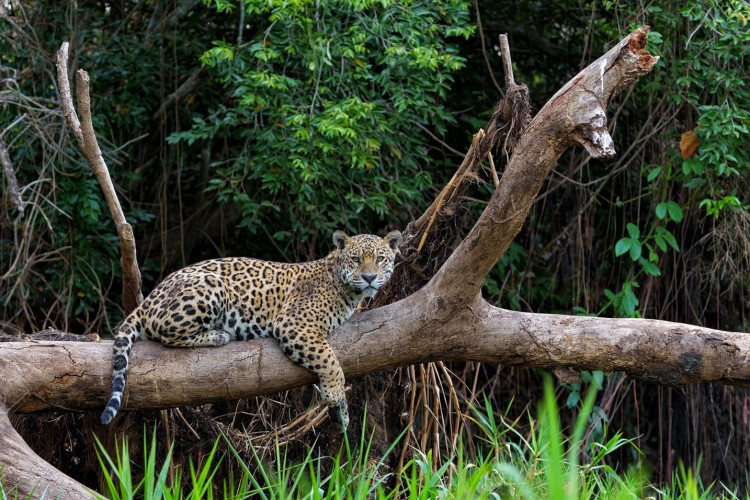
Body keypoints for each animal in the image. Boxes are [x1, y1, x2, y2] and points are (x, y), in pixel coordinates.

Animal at [100, 229, 402, 430]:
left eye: (380, 259)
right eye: (355, 259)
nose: (370, 277)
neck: (347, 290)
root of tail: (149, 298)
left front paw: (342, 414)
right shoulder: (294, 323)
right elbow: (330, 360)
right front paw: (334, 393)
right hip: (210, 286)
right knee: (165, 332)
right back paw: (218, 334)